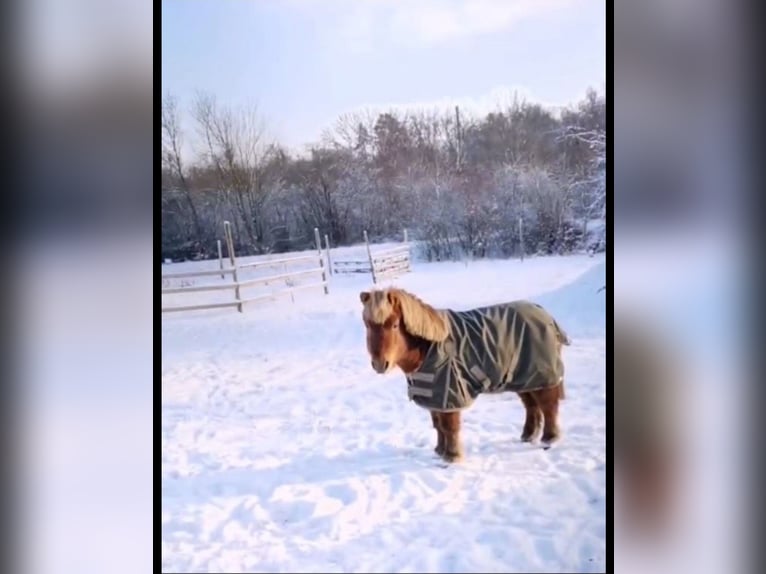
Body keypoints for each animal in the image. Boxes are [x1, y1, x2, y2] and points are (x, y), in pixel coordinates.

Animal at [359, 288, 570, 463]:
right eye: (367, 325)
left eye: (395, 325)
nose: (380, 364)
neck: (429, 347)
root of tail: (546, 315)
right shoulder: (435, 396)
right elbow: (438, 425)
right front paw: (439, 451)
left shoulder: (449, 394)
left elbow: (449, 426)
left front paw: (452, 457)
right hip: (523, 378)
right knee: (532, 406)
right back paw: (528, 435)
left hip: (542, 376)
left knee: (548, 406)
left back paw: (549, 439)